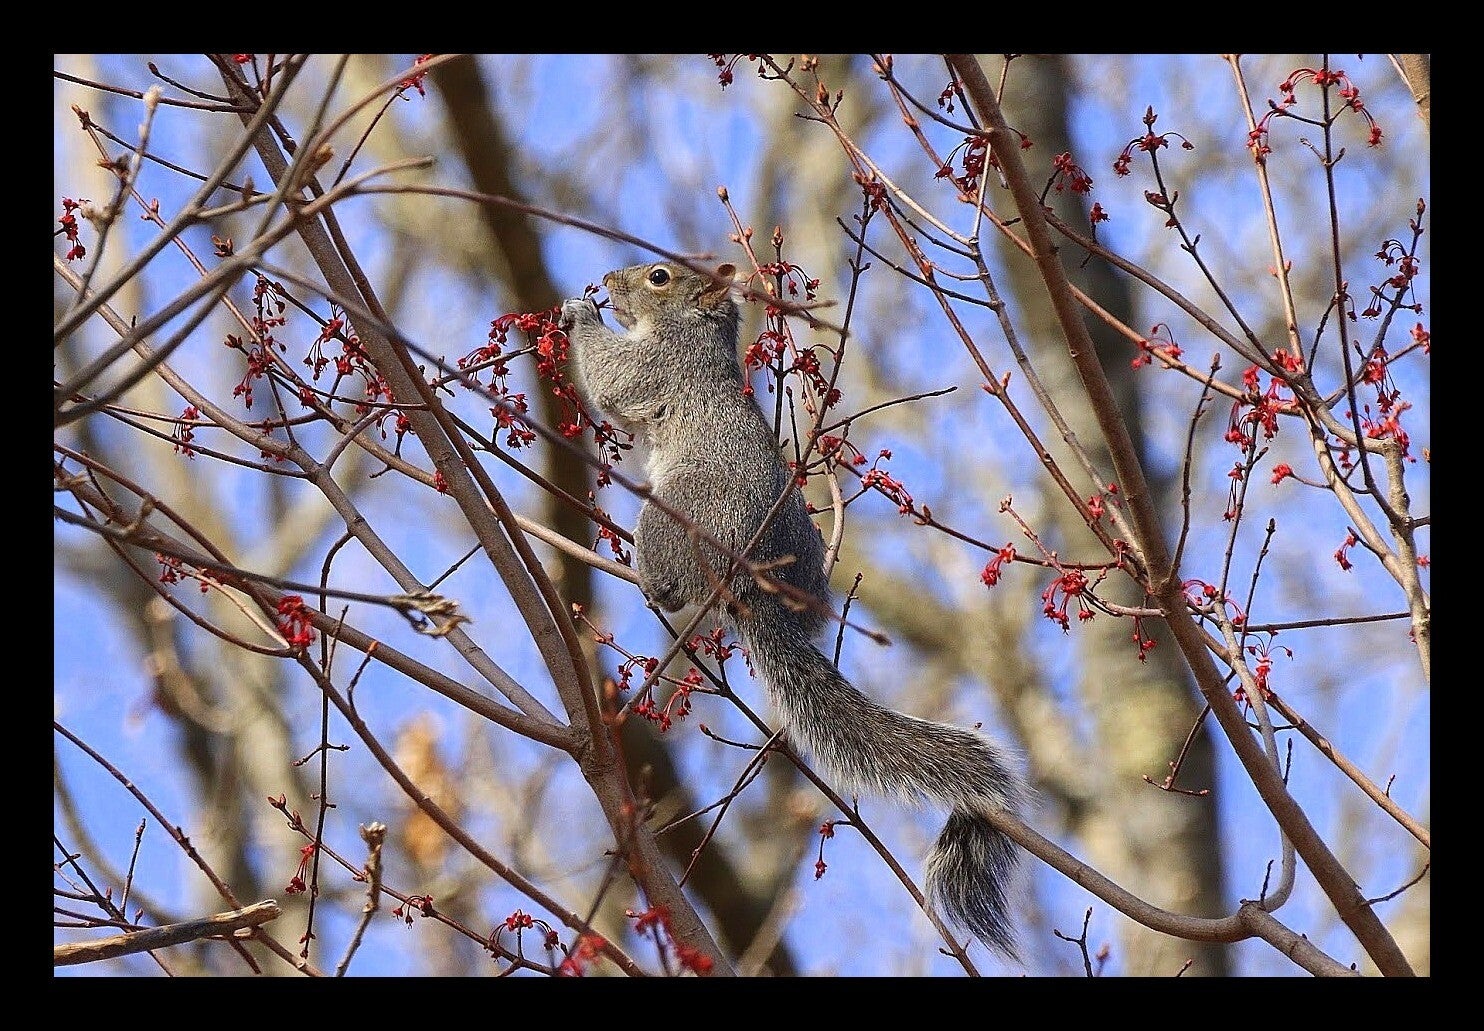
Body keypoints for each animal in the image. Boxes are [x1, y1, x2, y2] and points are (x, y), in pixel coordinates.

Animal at [560, 260, 1026, 958]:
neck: (701, 333)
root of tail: (758, 585)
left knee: (670, 573)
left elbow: (615, 378)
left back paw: (653, 584)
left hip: (673, 518)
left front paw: (578, 316)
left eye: (659, 277)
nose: (609, 279)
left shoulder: (663, 362)